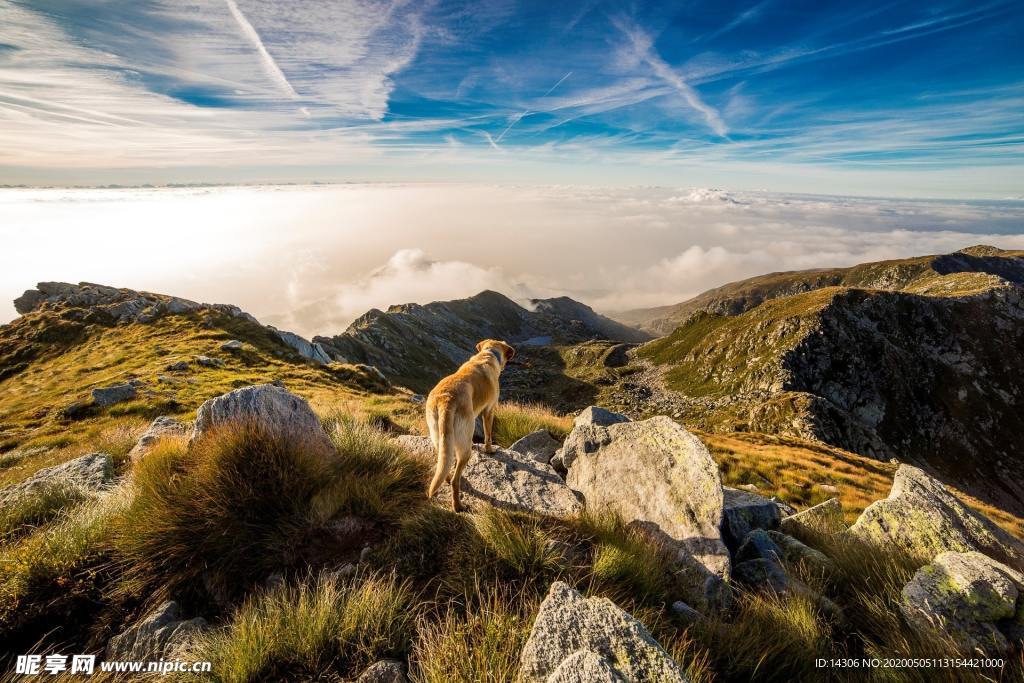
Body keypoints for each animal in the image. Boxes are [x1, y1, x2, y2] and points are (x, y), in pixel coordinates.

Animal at [425, 339, 516, 509]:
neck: (488, 353)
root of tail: (446, 400)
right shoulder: (489, 410)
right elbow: (488, 435)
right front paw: (489, 450)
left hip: (439, 436)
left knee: (444, 464)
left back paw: (446, 479)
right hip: (465, 448)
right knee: (456, 480)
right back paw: (458, 506)